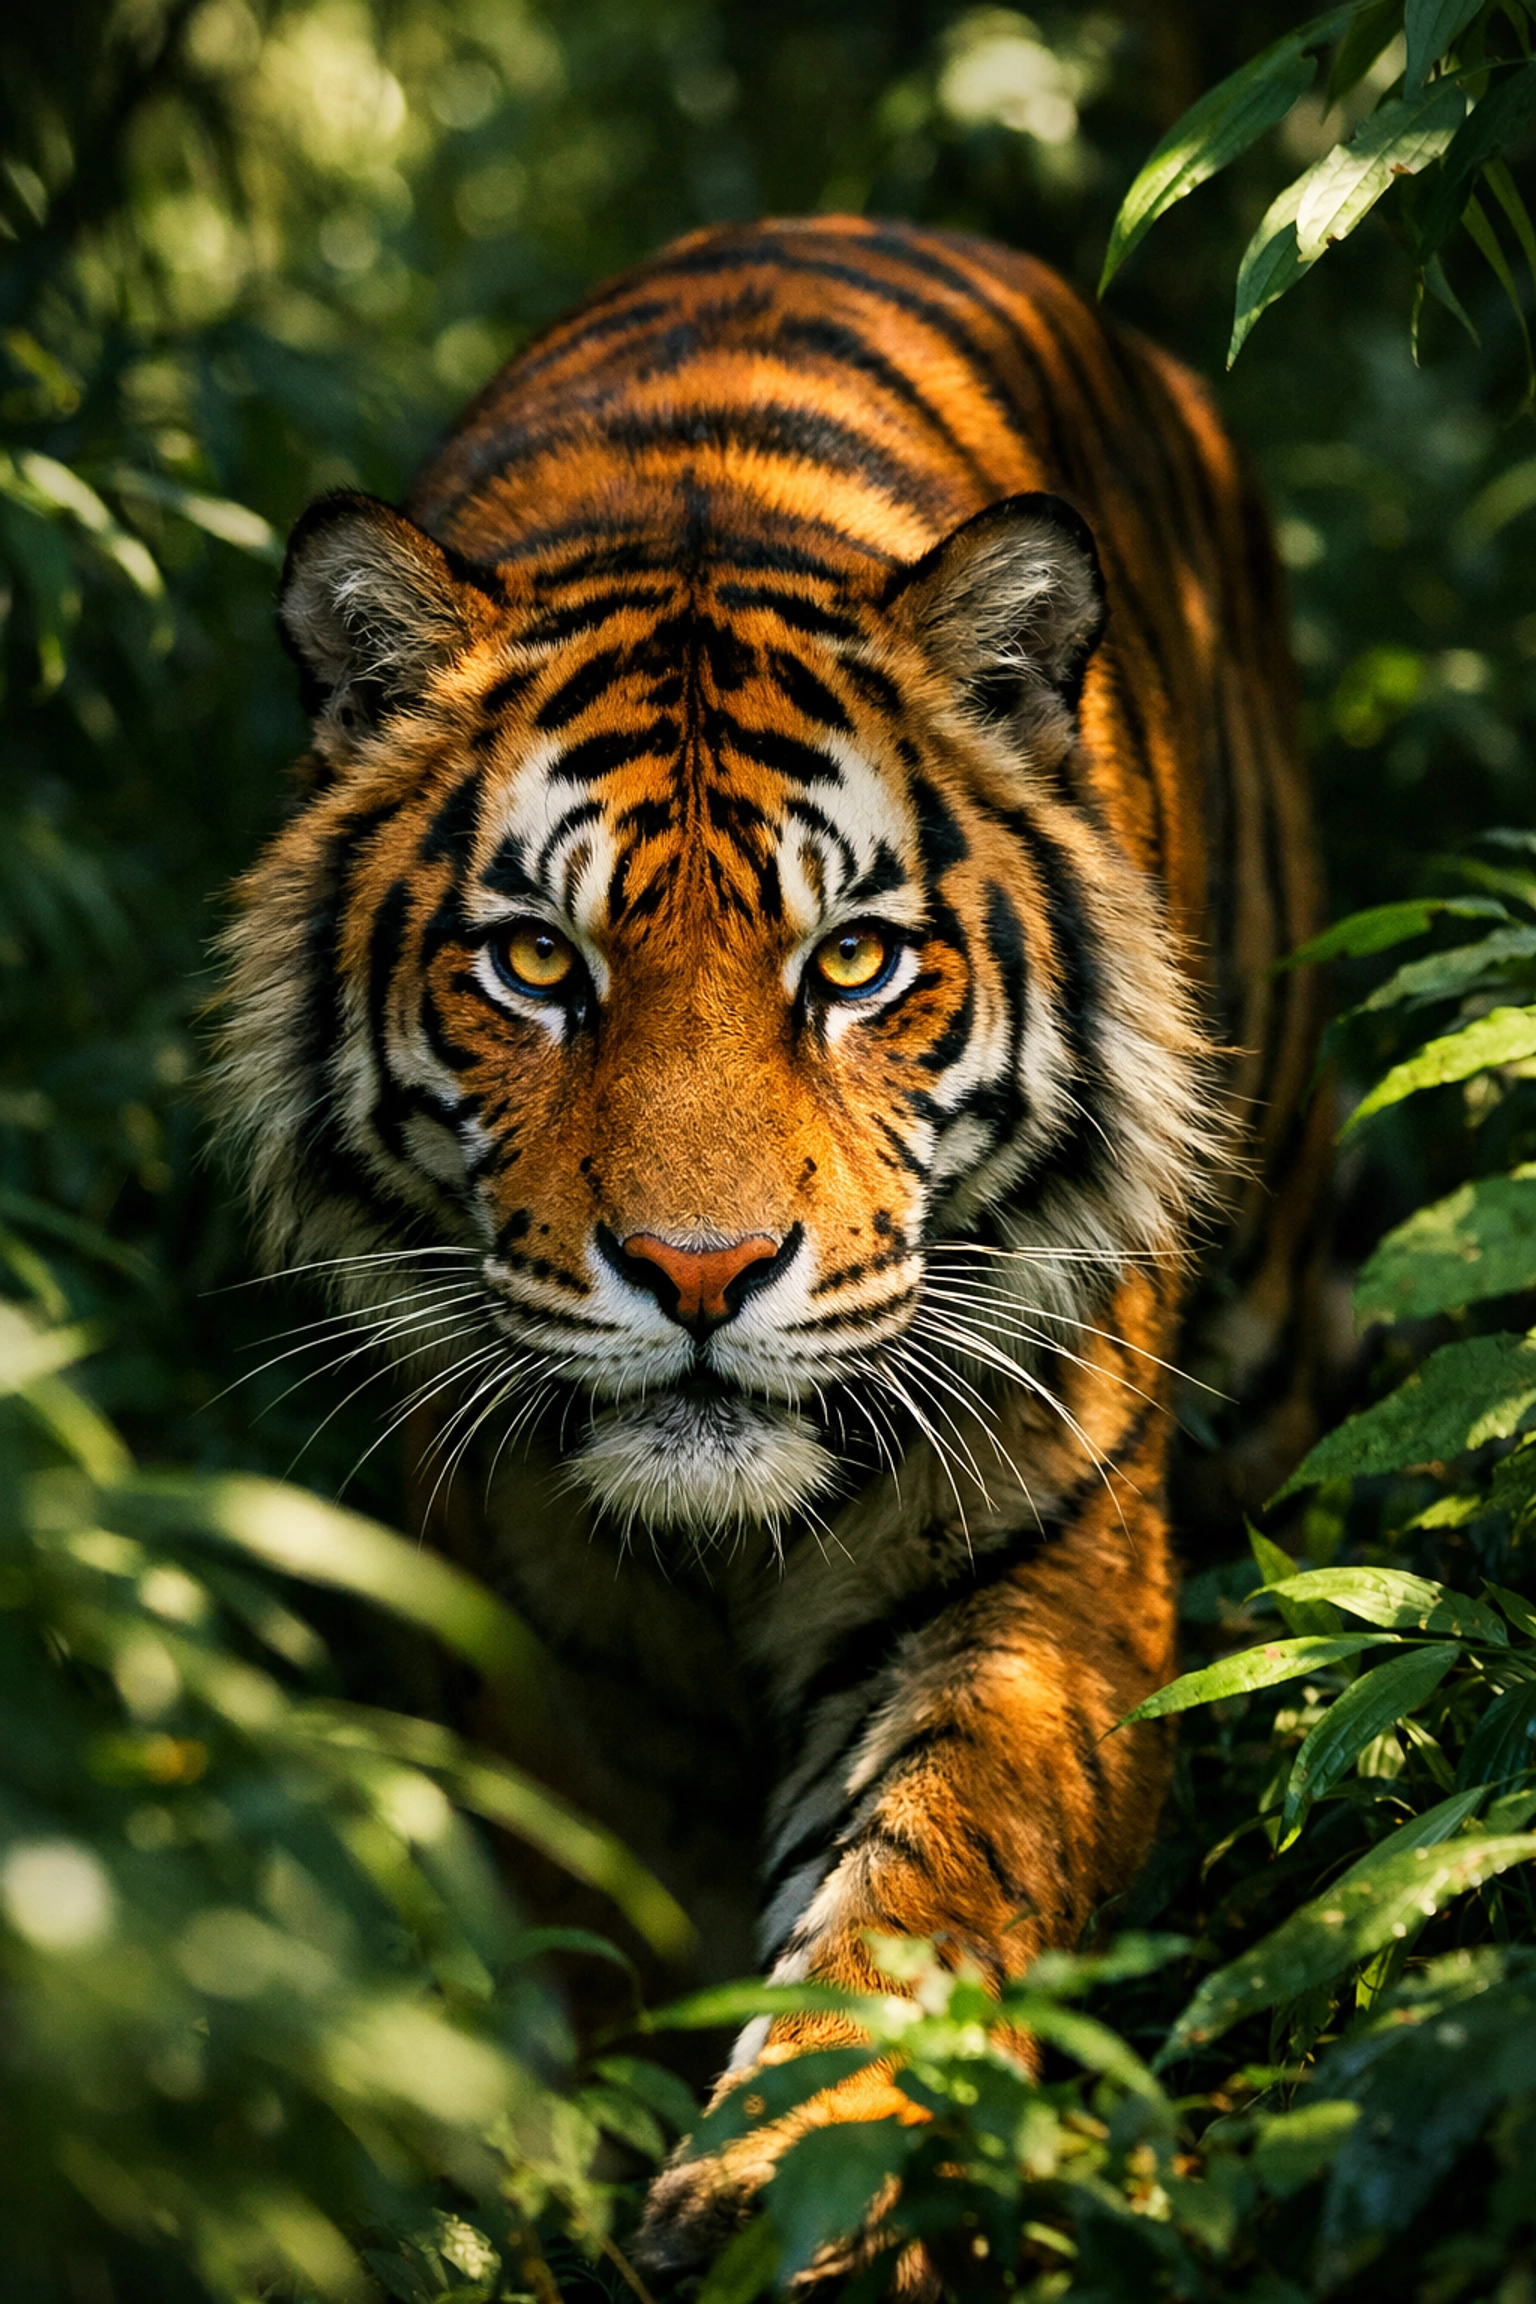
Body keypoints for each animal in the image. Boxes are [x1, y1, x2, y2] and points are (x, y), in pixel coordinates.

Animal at [216, 216, 1328, 2282]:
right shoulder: (550, 1659)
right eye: (537, 961)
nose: (702, 1269)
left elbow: (923, 1880)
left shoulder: (1023, 1567)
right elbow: (597, 1956)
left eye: (856, 958)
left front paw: (795, 2179)